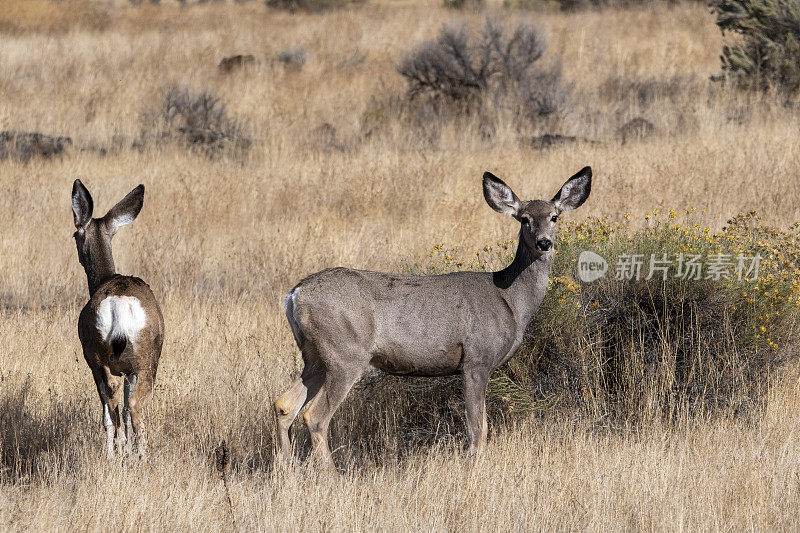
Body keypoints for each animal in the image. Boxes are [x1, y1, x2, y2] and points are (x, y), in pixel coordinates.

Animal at [72, 180, 164, 458]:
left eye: (75, 235)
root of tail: (120, 307)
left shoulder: (95, 360)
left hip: (101, 356)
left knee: (117, 402)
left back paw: (122, 452)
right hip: (143, 360)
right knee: (129, 404)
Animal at [276, 166, 592, 466]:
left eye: (554, 217)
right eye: (524, 219)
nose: (544, 243)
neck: (510, 300)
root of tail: (295, 294)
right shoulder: (476, 360)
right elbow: (477, 428)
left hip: (316, 355)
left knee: (284, 404)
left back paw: (287, 469)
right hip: (345, 353)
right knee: (315, 416)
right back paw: (331, 475)